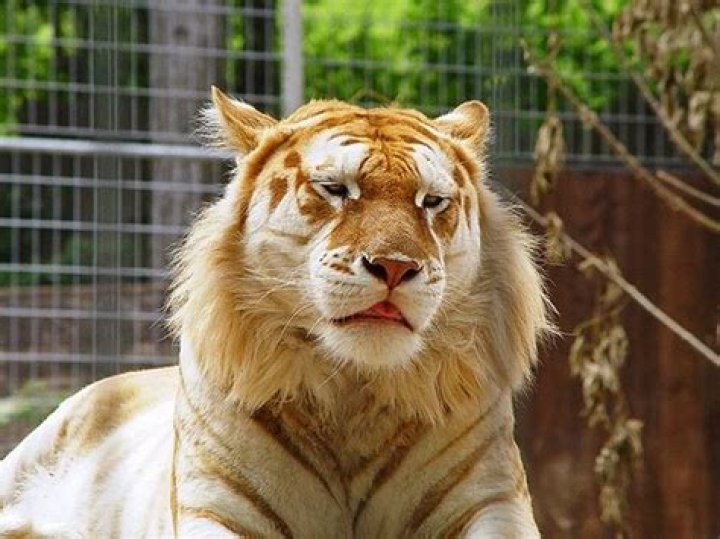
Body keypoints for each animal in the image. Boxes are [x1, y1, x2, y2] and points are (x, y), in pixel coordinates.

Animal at [0, 88, 551, 538]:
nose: (395, 266)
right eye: (335, 189)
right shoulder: (218, 505)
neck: (354, 391)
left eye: (432, 201)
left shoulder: (492, 500)